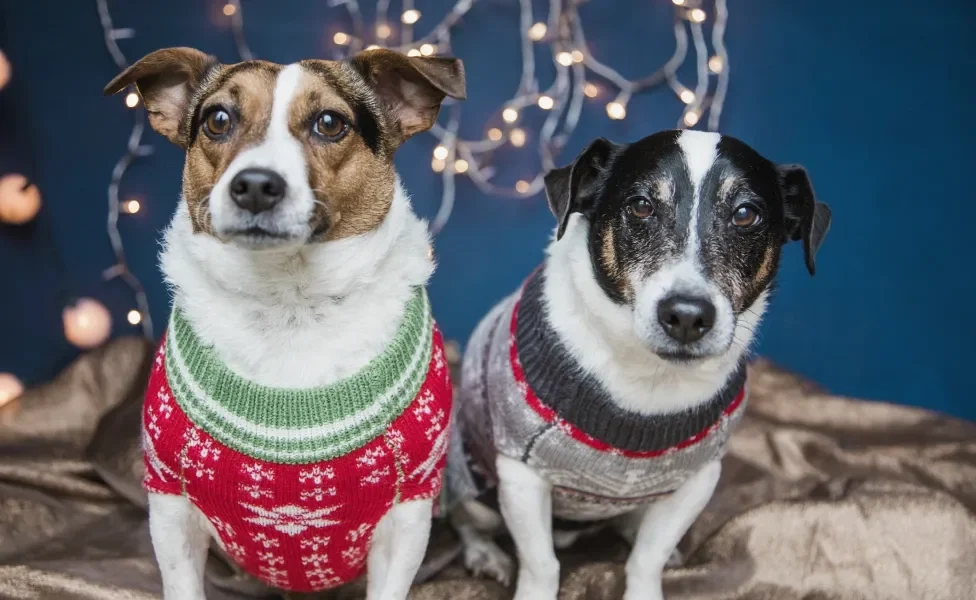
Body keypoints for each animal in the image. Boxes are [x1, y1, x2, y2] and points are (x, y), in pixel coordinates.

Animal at [102, 48, 466, 600]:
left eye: (330, 123)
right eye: (218, 119)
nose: (254, 186)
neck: (288, 301)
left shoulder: (408, 519)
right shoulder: (170, 511)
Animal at [448, 130, 832, 600]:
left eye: (746, 214)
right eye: (641, 206)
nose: (686, 315)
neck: (646, 381)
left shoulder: (697, 480)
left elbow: (647, 559)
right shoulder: (521, 476)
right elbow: (541, 564)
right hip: (473, 489)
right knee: (467, 524)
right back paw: (486, 556)